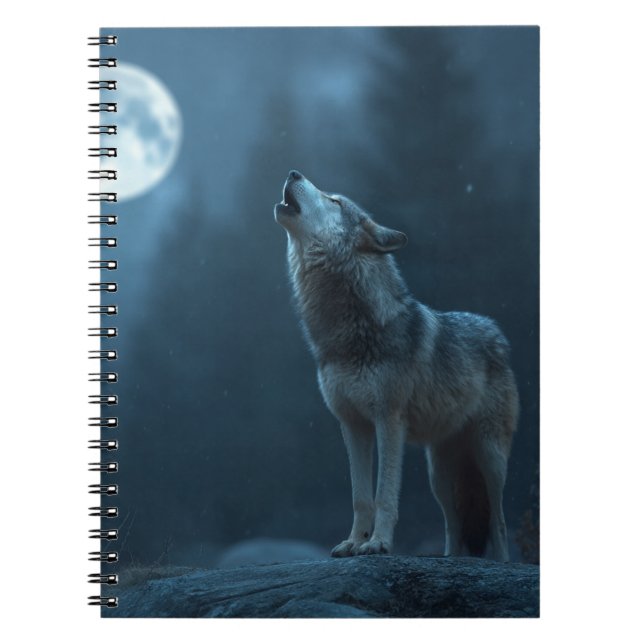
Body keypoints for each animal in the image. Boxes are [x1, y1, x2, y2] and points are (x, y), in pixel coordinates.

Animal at [274, 170, 519, 561]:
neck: (349, 333)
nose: (293, 172)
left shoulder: (389, 420)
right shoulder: (352, 424)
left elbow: (384, 495)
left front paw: (378, 544)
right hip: (440, 474)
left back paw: (500, 561)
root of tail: (496, 332)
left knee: (499, 520)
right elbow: (360, 497)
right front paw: (354, 542)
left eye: (334, 201)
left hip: (489, 458)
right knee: (453, 524)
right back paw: (450, 559)